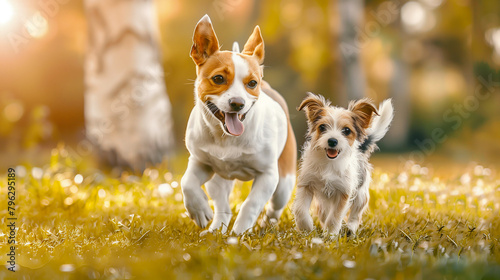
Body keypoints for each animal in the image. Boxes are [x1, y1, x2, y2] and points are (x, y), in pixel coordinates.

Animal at [181, 15, 294, 234]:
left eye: (251, 83)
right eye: (218, 78)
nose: (237, 103)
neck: (226, 138)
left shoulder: (268, 175)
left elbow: (250, 204)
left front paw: (240, 233)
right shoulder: (200, 162)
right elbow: (187, 182)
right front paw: (199, 211)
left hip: (284, 183)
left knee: (275, 205)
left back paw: (267, 222)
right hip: (219, 179)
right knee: (222, 204)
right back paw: (216, 229)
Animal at [292, 92, 394, 236]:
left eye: (346, 130)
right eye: (322, 127)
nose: (332, 141)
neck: (329, 163)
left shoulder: (343, 193)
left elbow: (334, 217)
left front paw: (330, 235)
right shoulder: (306, 184)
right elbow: (300, 209)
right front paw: (305, 228)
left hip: (361, 195)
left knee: (355, 214)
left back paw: (350, 228)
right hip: (324, 201)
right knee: (323, 213)